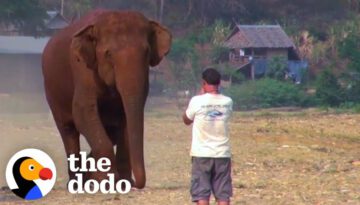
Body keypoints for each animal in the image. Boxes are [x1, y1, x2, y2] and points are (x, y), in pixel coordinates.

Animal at [41, 10, 171, 189]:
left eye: (146, 52)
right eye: (108, 54)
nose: (137, 184)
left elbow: (125, 120)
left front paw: (123, 183)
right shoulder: (82, 69)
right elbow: (83, 111)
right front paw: (107, 183)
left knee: (111, 130)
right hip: (52, 92)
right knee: (68, 130)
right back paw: (76, 183)